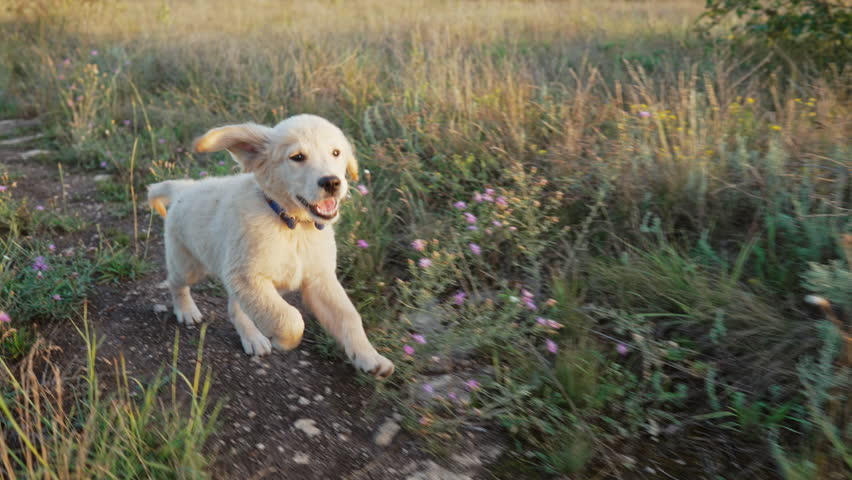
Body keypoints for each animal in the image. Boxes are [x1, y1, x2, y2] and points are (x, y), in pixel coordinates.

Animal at [147, 113, 396, 378]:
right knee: (176, 283)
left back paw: (252, 337)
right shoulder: (248, 278)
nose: (331, 182)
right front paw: (284, 341)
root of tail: (186, 188)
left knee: (235, 308)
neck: (293, 225)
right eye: (298, 157)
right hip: (190, 265)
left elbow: (349, 317)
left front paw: (370, 358)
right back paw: (186, 311)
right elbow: (290, 318)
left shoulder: (319, 280)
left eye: (336, 152)